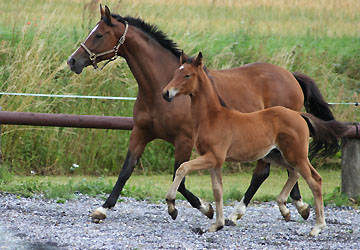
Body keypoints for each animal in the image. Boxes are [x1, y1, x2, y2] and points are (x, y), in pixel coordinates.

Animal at [162, 52, 346, 236]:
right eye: (175, 73)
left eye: (187, 75)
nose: (165, 93)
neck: (213, 117)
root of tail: (299, 115)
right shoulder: (214, 162)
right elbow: (217, 190)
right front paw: (217, 223)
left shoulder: (214, 157)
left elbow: (182, 168)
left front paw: (171, 205)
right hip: (276, 156)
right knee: (297, 173)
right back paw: (287, 208)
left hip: (296, 155)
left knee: (314, 181)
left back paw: (317, 226)